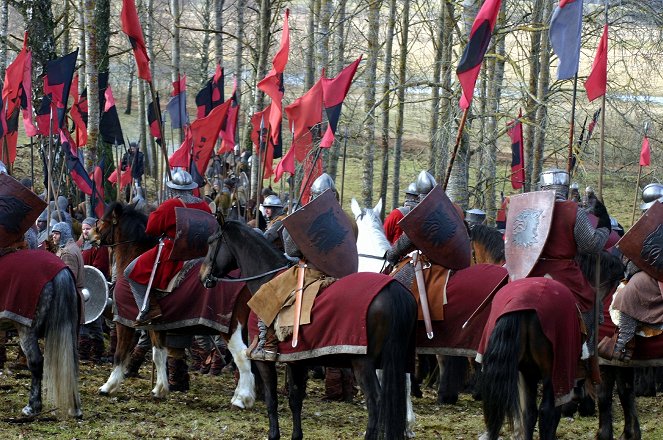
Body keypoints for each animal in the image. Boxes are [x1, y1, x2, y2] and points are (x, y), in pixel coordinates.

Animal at [92, 203, 256, 410]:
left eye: (103, 221)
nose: (90, 235)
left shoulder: (124, 322)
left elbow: (120, 354)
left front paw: (108, 386)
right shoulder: (156, 325)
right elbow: (159, 354)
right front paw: (160, 389)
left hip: (230, 327)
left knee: (242, 356)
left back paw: (242, 398)